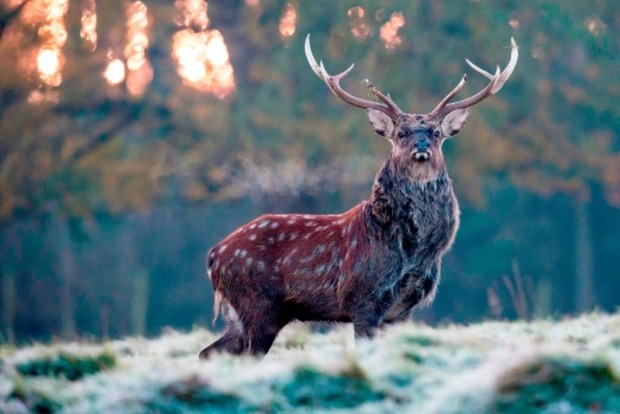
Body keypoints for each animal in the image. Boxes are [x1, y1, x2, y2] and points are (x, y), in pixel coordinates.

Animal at [199, 35, 520, 360]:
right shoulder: (363, 299)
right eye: (401, 133)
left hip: (245, 314)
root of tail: (213, 256)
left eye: (436, 132)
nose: (421, 147)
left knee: (209, 352)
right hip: (257, 305)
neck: (415, 253)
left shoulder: (401, 310)